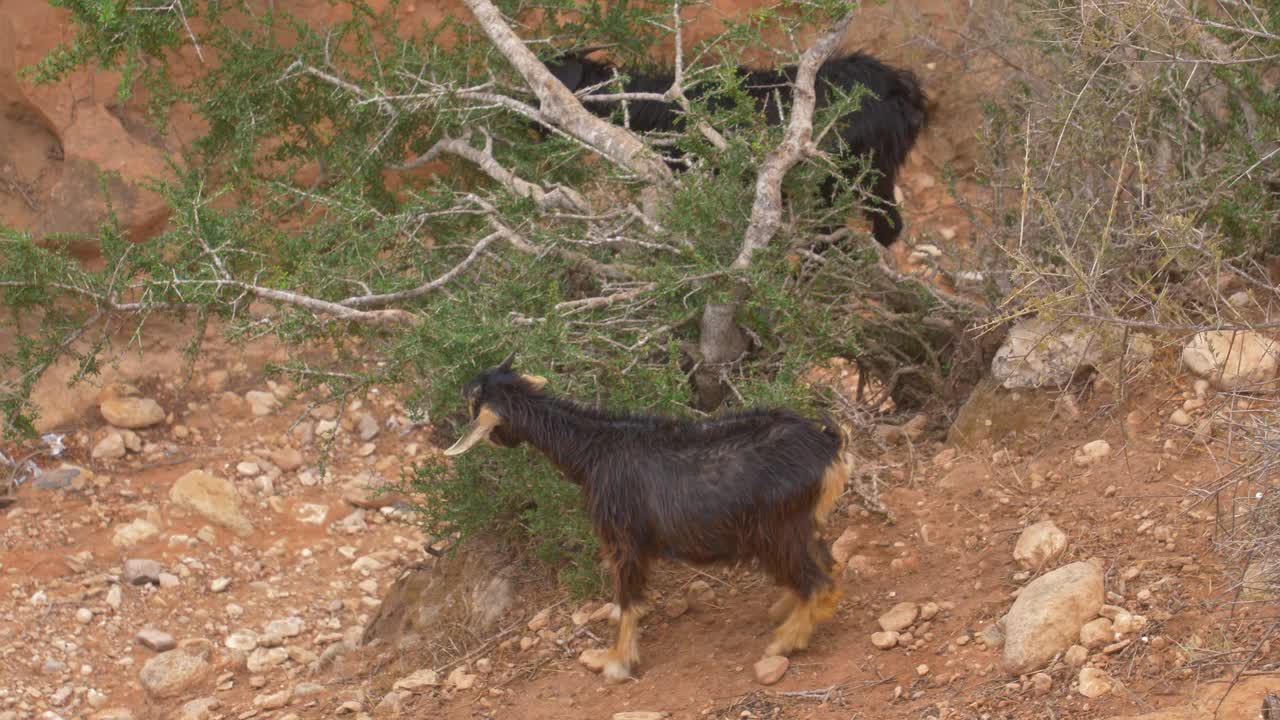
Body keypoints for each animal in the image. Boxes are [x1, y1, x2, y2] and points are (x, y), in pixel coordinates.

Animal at [440, 351, 849, 676]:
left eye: (471, 404)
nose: (493, 440)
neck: (592, 451)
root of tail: (826, 444)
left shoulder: (622, 537)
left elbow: (627, 598)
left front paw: (614, 661)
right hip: (802, 524)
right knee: (827, 566)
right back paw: (790, 610)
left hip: (776, 530)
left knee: (819, 581)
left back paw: (786, 641)